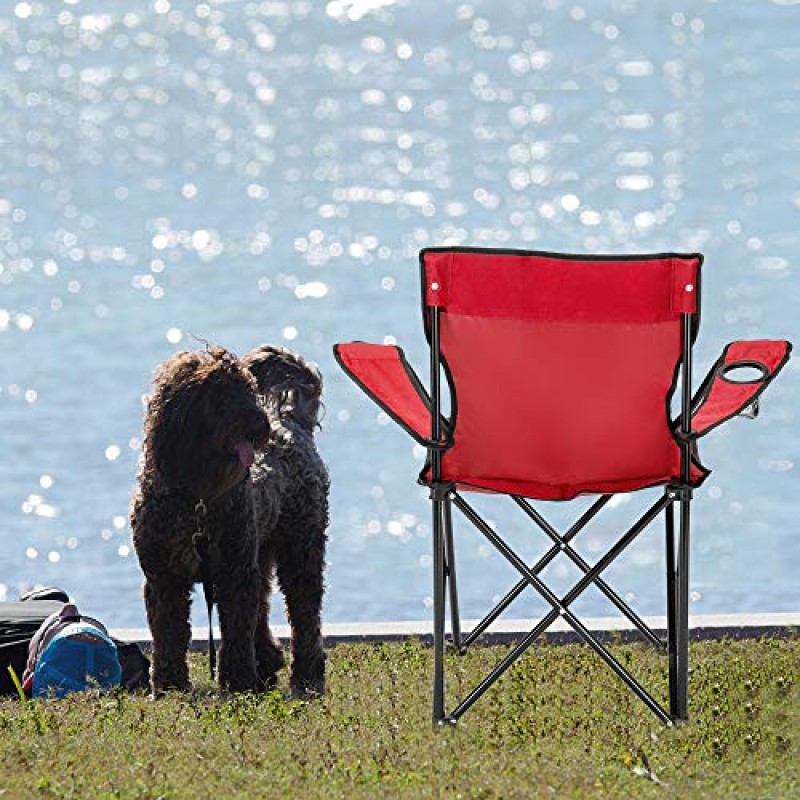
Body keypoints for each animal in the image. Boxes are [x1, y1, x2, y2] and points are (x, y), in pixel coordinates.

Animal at [130, 346, 328, 696]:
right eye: (220, 395)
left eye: (247, 389)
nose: (259, 422)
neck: (196, 496)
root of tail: (290, 420)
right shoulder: (165, 578)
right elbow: (168, 634)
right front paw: (169, 685)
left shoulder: (232, 572)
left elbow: (235, 631)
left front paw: (237, 683)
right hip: (259, 552)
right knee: (262, 606)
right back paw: (267, 665)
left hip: (300, 547)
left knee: (304, 613)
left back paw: (306, 675)